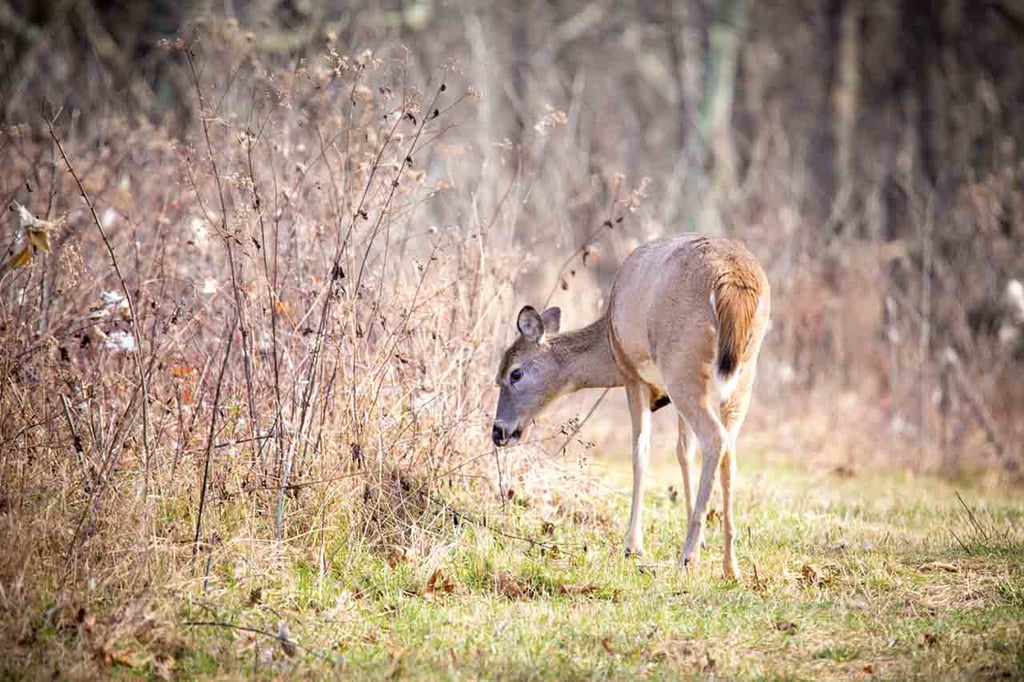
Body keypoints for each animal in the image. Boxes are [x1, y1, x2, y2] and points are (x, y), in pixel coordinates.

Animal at [492, 234, 770, 580]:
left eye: (514, 373)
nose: (499, 432)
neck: (608, 341)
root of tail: (733, 282)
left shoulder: (632, 376)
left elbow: (640, 450)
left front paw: (633, 545)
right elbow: (684, 452)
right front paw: (703, 540)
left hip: (682, 365)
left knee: (715, 439)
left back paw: (687, 557)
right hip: (742, 373)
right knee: (728, 450)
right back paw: (730, 565)